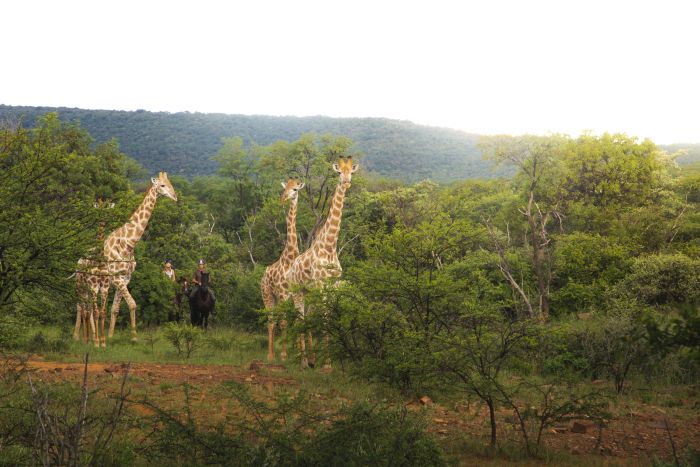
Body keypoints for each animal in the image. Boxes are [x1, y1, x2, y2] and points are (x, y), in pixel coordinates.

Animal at [73, 198, 114, 348]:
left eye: (107, 209)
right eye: (98, 209)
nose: (102, 221)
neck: (100, 260)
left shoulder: (105, 287)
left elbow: (102, 312)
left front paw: (103, 341)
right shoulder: (94, 286)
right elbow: (96, 312)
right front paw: (97, 343)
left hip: (89, 291)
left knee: (88, 310)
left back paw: (90, 338)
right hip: (82, 288)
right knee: (85, 311)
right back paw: (86, 339)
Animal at [106, 174, 179, 342]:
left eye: (170, 183)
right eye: (162, 185)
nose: (175, 197)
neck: (128, 244)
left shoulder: (124, 279)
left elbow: (115, 309)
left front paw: (111, 336)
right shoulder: (118, 279)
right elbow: (132, 304)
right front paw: (134, 337)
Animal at [286, 157, 358, 370]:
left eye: (351, 171)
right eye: (338, 172)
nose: (346, 182)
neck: (329, 246)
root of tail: (290, 270)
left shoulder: (332, 286)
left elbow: (331, 319)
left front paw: (333, 362)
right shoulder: (320, 285)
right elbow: (325, 321)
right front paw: (327, 365)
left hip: (307, 292)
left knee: (306, 318)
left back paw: (310, 360)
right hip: (297, 290)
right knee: (299, 319)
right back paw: (303, 362)